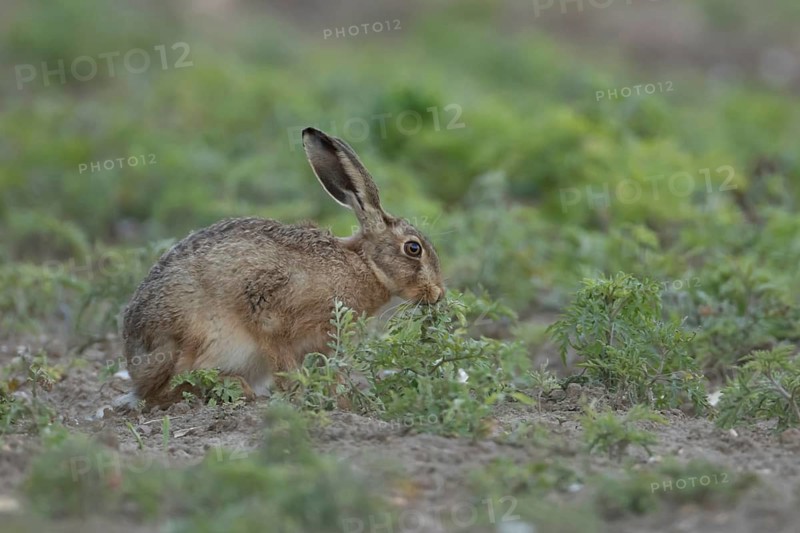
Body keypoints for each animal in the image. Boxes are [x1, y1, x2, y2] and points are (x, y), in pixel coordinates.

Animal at [120, 127, 445, 407]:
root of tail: (134, 362)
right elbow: (286, 366)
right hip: (189, 335)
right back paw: (235, 388)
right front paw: (301, 398)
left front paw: (345, 405)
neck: (363, 264)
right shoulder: (270, 315)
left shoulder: (325, 343)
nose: (438, 293)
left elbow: (335, 376)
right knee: (164, 389)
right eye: (413, 248)